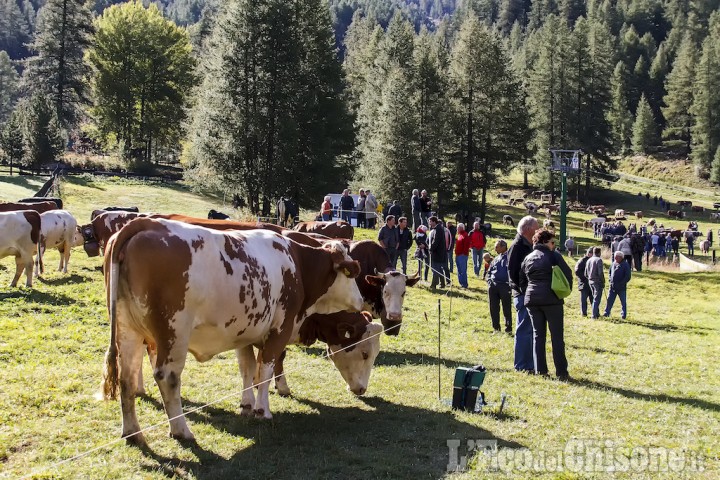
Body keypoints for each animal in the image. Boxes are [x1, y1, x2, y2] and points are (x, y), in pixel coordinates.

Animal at [100, 218, 366, 442]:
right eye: (350, 274)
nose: (361, 300)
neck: (298, 265)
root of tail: (147, 223)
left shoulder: (245, 332)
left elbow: (247, 368)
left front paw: (246, 404)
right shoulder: (280, 329)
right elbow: (266, 369)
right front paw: (262, 410)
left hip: (128, 330)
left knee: (126, 378)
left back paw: (133, 432)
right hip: (173, 334)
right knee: (168, 378)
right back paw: (181, 430)